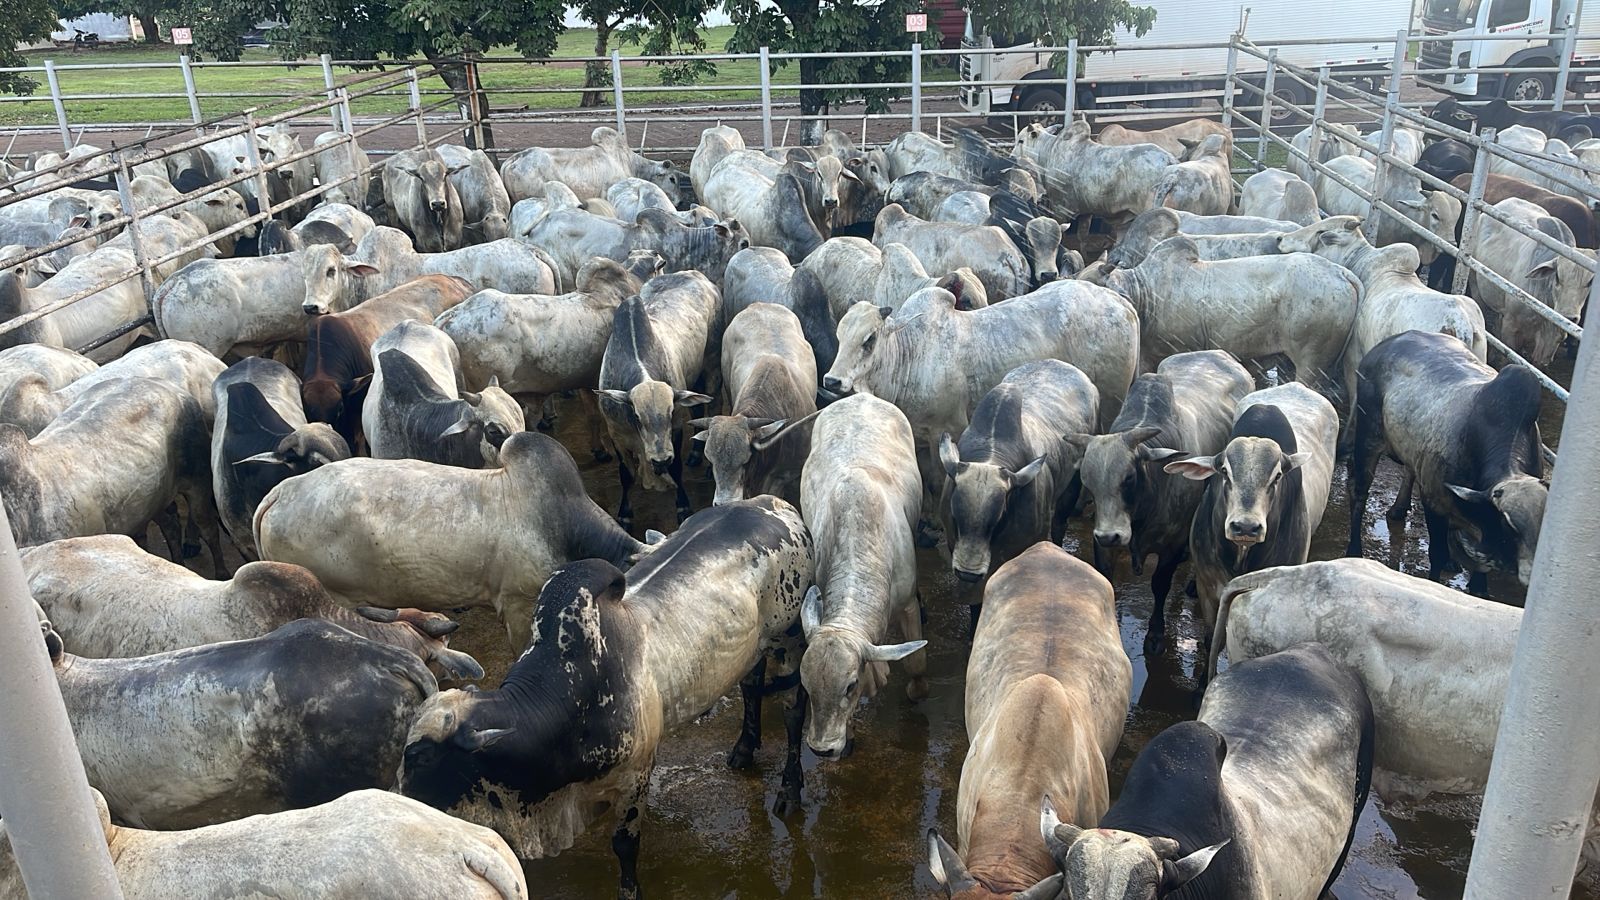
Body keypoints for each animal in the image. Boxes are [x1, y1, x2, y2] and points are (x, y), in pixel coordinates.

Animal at [400, 496, 812, 896]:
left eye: (421, 757)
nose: (399, 797)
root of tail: (775, 505)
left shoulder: (636, 776)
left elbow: (624, 847)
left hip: (789, 641)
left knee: (794, 711)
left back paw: (789, 790)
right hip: (753, 650)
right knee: (751, 686)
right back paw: (744, 748)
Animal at [1350, 328, 1548, 589]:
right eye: (1509, 524)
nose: (1533, 574)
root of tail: (1389, 342)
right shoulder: (1434, 504)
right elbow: (1437, 553)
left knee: (1410, 469)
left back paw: (1399, 510)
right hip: (1367, 438)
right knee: (1360, 494)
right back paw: (1354, 550)